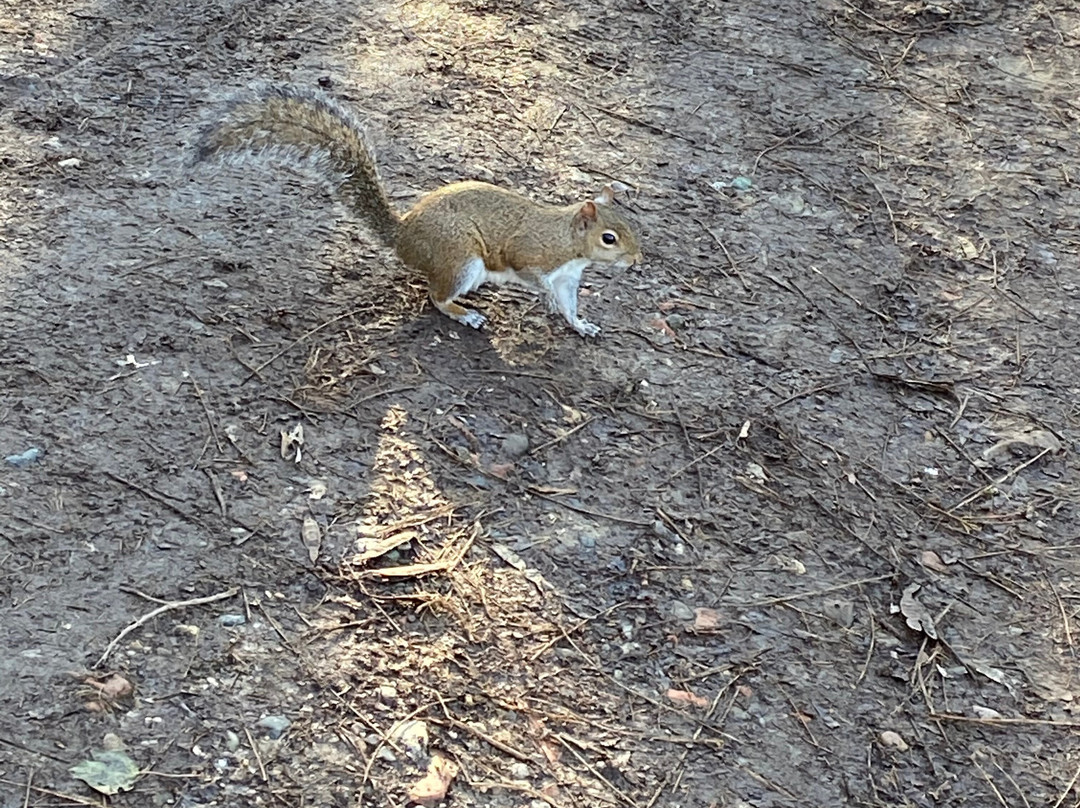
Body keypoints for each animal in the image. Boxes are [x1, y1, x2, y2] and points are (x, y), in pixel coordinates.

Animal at [198, 86, 639, 339]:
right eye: (609, 238)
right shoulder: (532, 254)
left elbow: (568, 305)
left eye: (631, 226)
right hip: (460, 259)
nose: (636, 260)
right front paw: (543, 297)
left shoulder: (568, 278)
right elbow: (530, 274)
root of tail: (403, 236)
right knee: (435, 296)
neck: (568, 242)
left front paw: (581, 325)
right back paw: (464, 313)